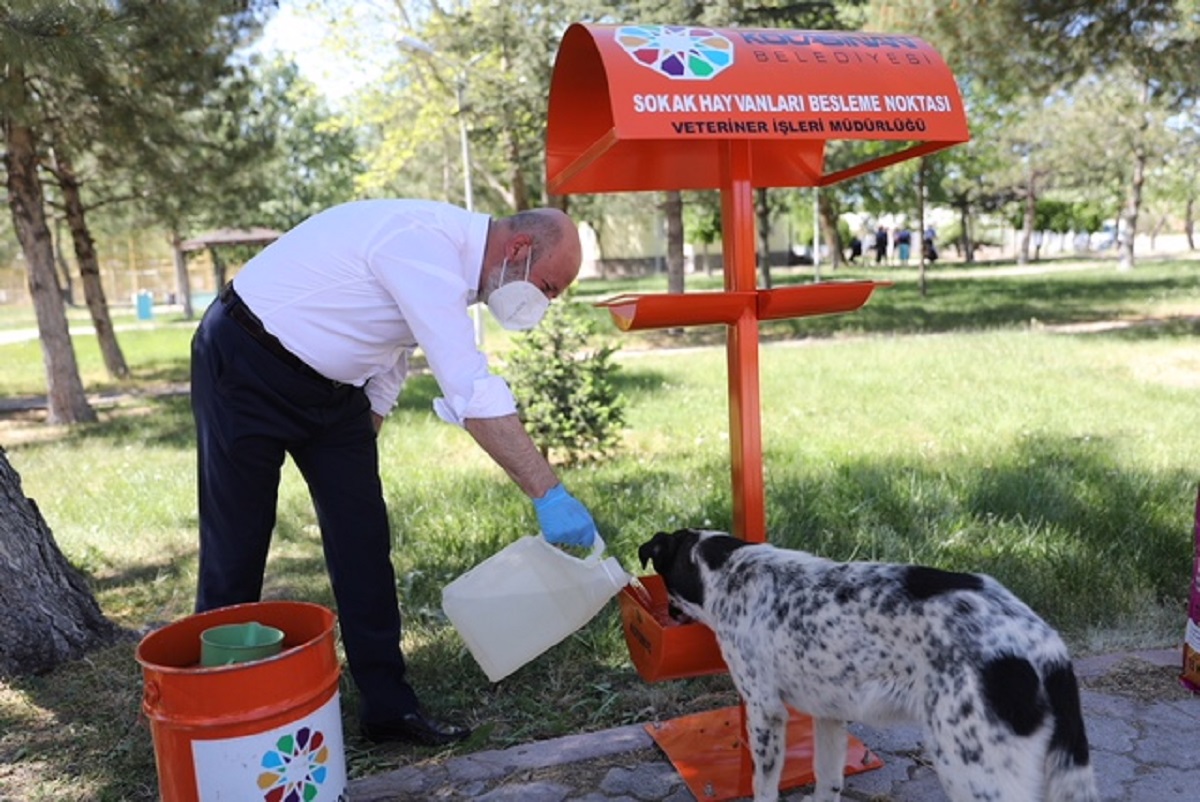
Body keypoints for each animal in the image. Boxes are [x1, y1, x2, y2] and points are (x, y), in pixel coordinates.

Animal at [638, 525, 1099, 802]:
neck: (729, 569)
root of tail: (1045, 647)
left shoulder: (765, 712)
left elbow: (763, 785)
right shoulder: (829, 715)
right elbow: (827, 780)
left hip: (972, 770)